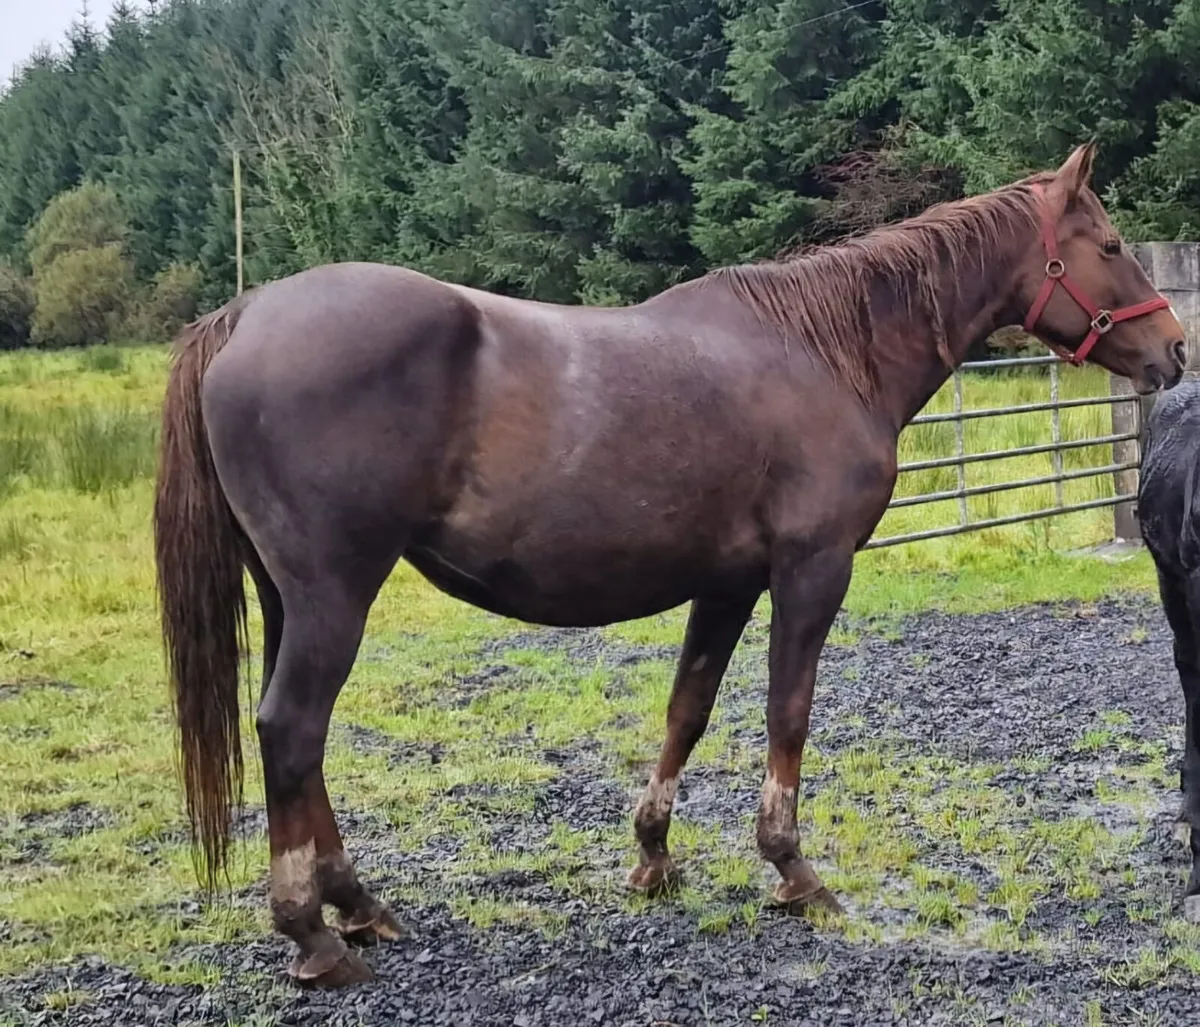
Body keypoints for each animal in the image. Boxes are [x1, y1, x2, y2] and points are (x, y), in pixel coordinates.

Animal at [153, 142, 1185, 987]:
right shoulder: (811, 570)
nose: (1175, 349)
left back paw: (359, 906)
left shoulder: (725, 583)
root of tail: (246, 313)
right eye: (1110, 242)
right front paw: (793, 870)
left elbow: (687, 707)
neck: (825, 351)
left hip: (290, 598)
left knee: (299, 742)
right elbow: (787, 711)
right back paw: (313, 935)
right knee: (292, 730)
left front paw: (652, 857)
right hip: (334, 595)